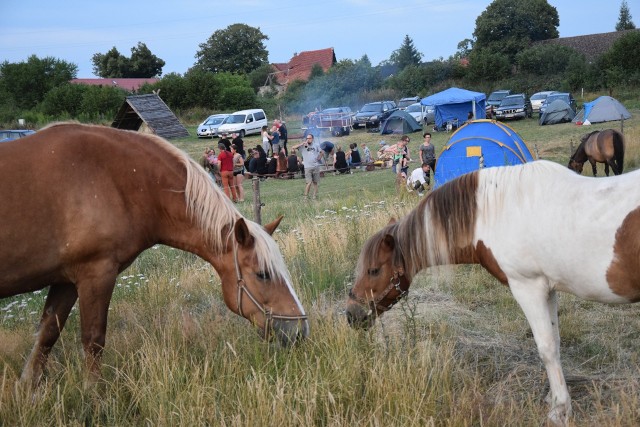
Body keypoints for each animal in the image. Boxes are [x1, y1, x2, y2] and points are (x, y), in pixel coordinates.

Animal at [0, 123, 310, 388]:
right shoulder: (95, 274)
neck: (115, 178)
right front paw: (93, 399)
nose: (299, 331)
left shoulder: (66, 280)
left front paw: (27, 394)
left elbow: (45, 336)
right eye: (263, 274)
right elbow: (93, 340)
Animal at [350, 161, 640, 427]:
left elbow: (546, 348)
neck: (498, 214)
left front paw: (559, 409)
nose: (351, 314)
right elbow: (555, 342)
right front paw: (554, 397)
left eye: (373, 270)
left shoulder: (528, 287)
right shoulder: (548, 289)